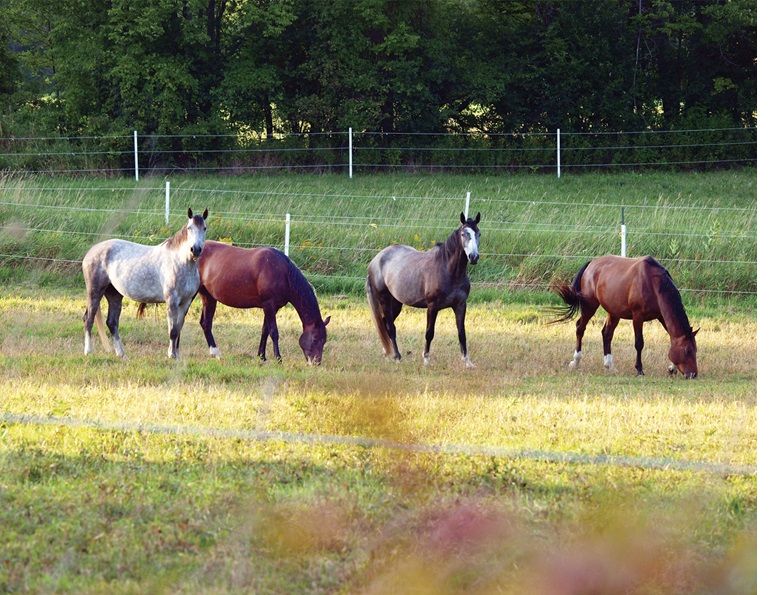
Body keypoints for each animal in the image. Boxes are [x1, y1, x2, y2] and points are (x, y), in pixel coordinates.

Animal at [82, 208, 208, 359]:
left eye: (204, 228)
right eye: (190, 228)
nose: (196, 249)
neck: (180, 262)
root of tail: (91, 251)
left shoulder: (185, 303)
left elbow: (178, 329)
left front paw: (176, 356)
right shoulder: (172, 301)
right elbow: (172, 331)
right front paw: (171, 356)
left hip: (114, 294)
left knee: (112, 322)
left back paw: (122, 355)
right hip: (95, 292)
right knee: (89, 319)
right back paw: (88, 351)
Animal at [196, 241, 331, 365]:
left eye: (324, 340)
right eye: (315, 339)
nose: (316, 362)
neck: (283, 272)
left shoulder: (272, 308)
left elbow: (265, 331)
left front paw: (262, 356)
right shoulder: (269, 305)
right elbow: (274, 332)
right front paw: (278, 359)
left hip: (208, 296)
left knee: (205, 323)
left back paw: (215, 354)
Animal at [366, 212, 481, 368]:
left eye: (478, 234)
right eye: (464, 234)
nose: (473, 257)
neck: (448, 270)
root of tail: (376, 260)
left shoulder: (460, 305)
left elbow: (462, 333)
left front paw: (467, 362)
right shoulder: (432, 307)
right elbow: (429, 333)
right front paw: (426, 360)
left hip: (396, 303)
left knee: (385, 325)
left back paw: (387, 352)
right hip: (384, 300)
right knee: (390, 327)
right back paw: (397, 356)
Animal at [550, 255, 698, 378]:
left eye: (695, 350)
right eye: (687, 351)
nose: (693, 374)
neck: (652, 282)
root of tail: (591, 263)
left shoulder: (661, 316)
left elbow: (672, 338)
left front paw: (672, 368)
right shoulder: (638, 317)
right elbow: (639, 343)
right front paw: (639, 370)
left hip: (613, 312)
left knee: (606, 333)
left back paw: (609, 365)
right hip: (589, 306)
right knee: (580, 328)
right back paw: (575, 362)